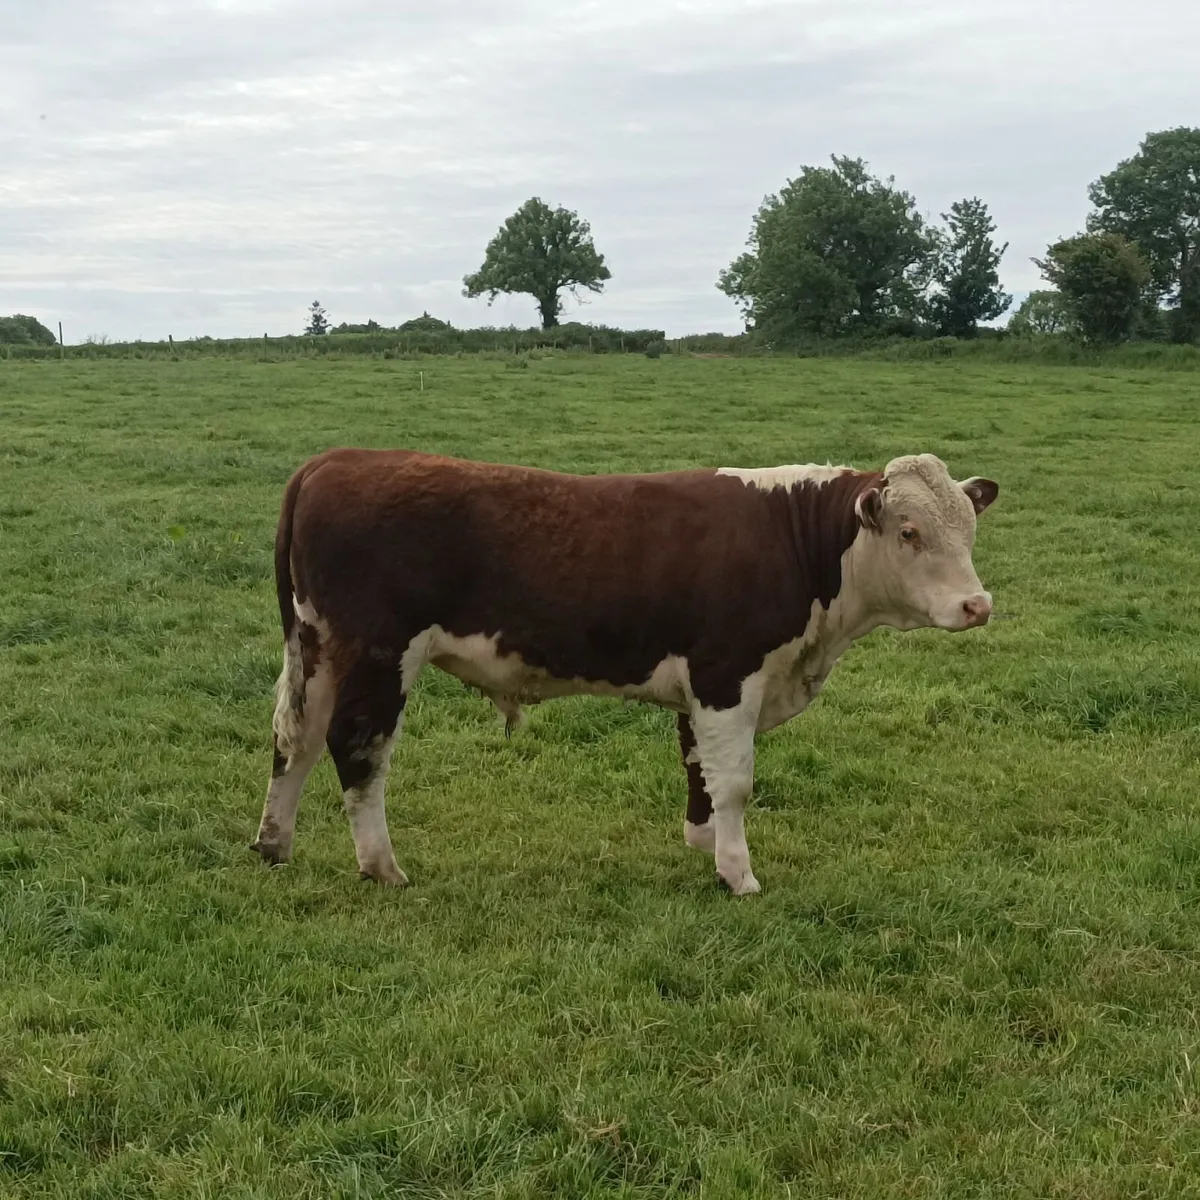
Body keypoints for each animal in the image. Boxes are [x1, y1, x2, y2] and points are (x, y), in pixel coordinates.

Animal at [251, 449, 998, 895]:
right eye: (909, 532)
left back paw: (274, 844)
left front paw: (702, 844)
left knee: (296, 741)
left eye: (968, 529)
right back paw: (381, 866)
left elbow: (698, 766)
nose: (978, 605)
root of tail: (336, 461)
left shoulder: (701, 687)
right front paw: (738, 874)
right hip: (381, 654)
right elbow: (735, 782)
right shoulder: (727, 674)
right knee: (356, 750)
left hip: (317, 648)